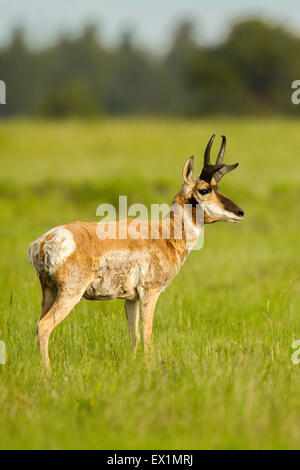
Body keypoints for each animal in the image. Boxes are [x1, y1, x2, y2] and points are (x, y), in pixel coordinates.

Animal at [28, 134, 244, 370]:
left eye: (218, 188)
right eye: (205, 189)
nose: (240, 212)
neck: (164, 234)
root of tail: (44, 241)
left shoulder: (131, 299)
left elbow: (135, 335)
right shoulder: (150, 293)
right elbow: (147, 334)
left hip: (49, 292)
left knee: (38, 323)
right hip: (70, 293)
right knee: (44, 326)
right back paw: (47, 371)